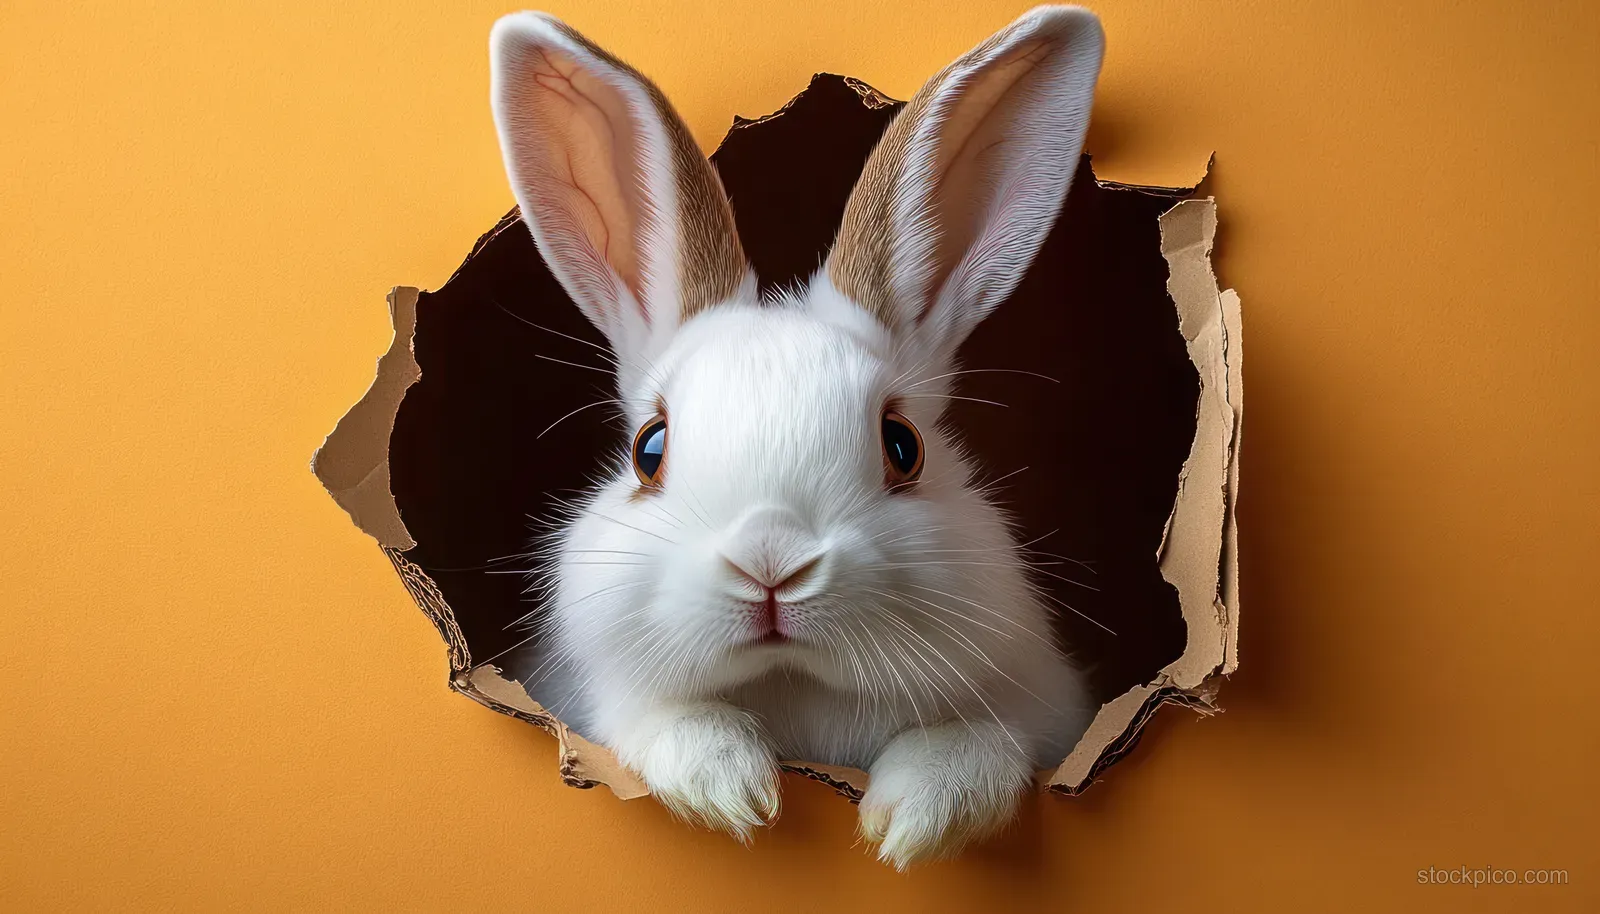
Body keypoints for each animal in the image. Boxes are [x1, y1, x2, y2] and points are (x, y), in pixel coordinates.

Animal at [490, 5, 1105, 868]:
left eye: (902, 445)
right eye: (650, 449)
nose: (770, 564)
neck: (790, 679)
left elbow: (980, 745)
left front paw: (913, 822)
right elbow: (660, 721)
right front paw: (734, 790)